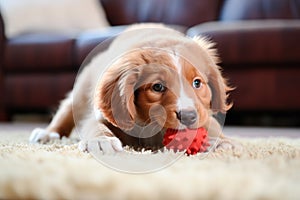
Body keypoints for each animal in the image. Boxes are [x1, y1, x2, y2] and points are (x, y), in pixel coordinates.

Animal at [28, 24, 234, 154]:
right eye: (157, 87)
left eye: (197, 83)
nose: (189, 117)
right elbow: (93, 124)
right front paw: (101, 141)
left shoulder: (203, 112)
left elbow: (213, 124)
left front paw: (222, 142)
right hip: (81, 91)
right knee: (65, 112)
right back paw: (47, 134)